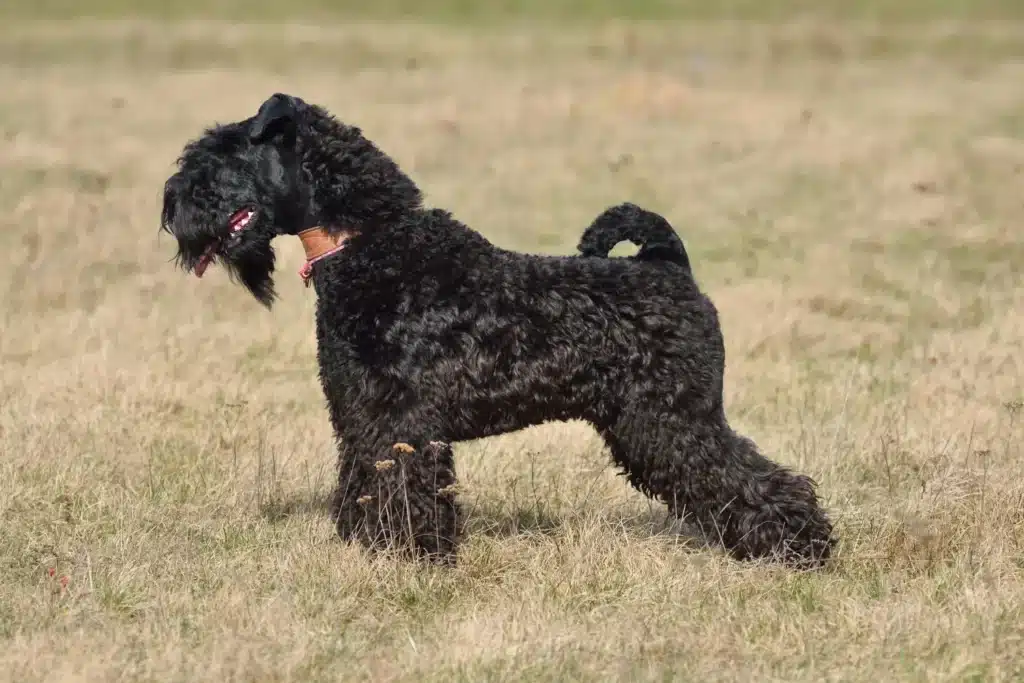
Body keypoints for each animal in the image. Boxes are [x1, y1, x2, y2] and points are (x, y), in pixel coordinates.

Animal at [157, 93, 831, 569]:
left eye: (222, 155)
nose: (171, 205)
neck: (371, 245)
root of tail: (668, 265)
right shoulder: (360, 414)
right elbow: (362, 482)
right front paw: (366, 549)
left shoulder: (401, 420)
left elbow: (404, 488)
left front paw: (410, 557)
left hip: (673, 419)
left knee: (751, 476)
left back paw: (801, 547)